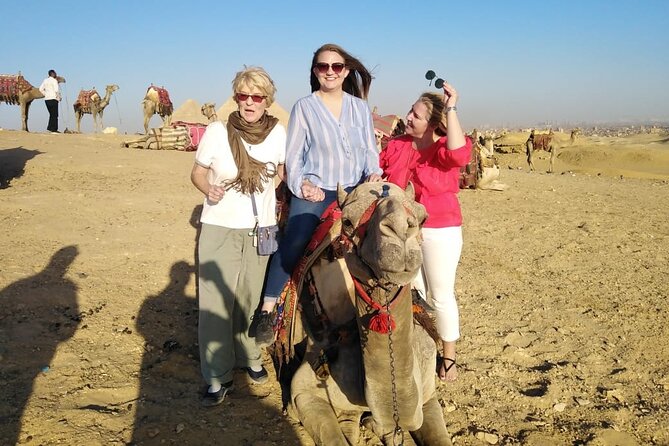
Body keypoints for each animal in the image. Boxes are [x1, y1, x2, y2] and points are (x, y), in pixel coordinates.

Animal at [276, 181, 452, 446]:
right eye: (348, 221)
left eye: (423, 218)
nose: (400, 232)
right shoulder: (304, 392)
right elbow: (334, 437)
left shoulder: (428, 396)